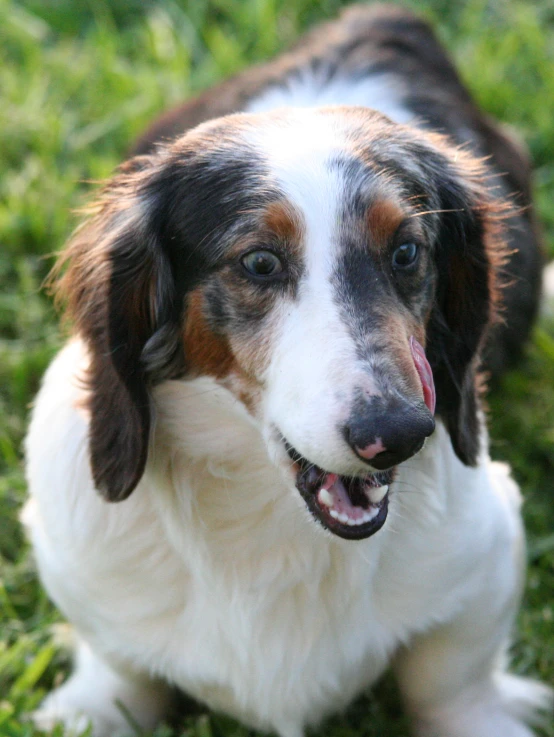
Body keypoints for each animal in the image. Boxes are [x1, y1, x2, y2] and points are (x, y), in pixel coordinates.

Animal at [22, 5, 548, 736]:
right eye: (260, 262)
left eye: (407, 251)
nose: (399, 432)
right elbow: (119, 672)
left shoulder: (485, 551)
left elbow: (451, 683)